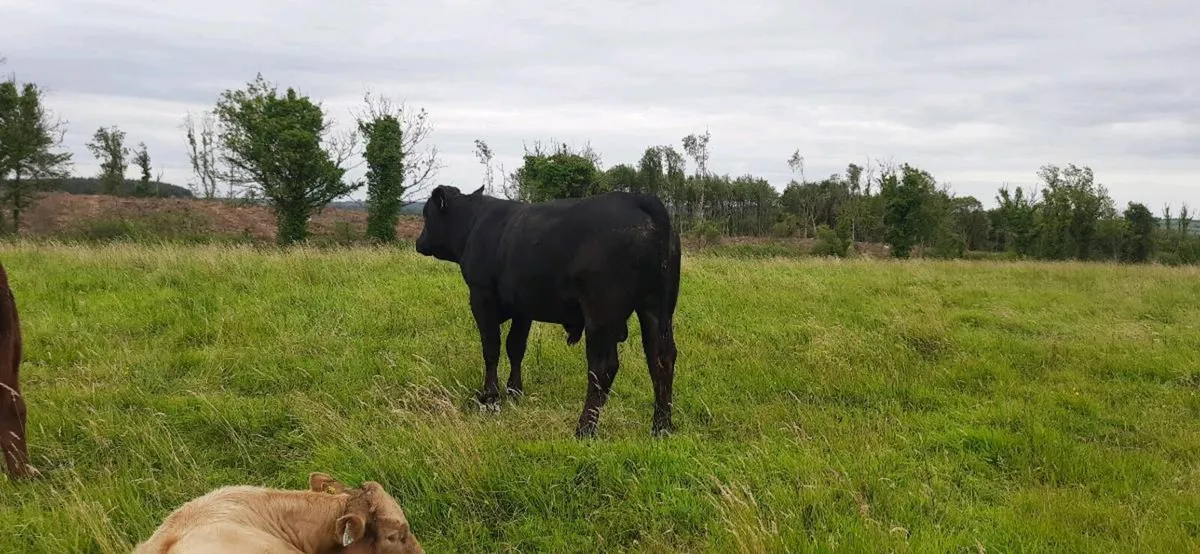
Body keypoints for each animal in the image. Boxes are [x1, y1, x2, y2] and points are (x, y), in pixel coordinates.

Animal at [414, 185, 681, 438]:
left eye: (427, 214)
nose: (418, 242)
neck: (473, 224)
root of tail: (640, 200)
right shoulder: (522, 307)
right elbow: (515, 347)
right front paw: (514, 391)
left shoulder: (481, 296)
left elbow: (491, 348)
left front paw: (490, 397)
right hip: (656, 309)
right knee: (661, 359)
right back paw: (661, 427)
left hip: (601, 314)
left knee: (603, 367)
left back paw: (584, 429)